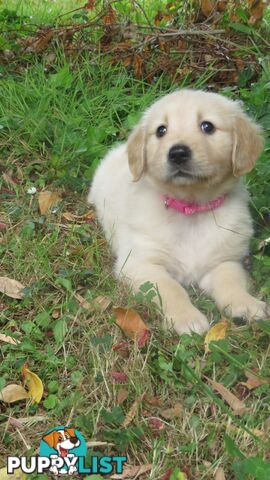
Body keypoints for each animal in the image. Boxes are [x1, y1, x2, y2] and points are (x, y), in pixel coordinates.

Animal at [88, 90, 268, 334]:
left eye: (207, 126)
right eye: (161, 130)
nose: (178, 153)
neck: (191, 209)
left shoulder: (224, 261)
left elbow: (230, 281)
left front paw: (246, 304)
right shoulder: (141, 263)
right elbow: (170, 287)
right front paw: (187, 318)